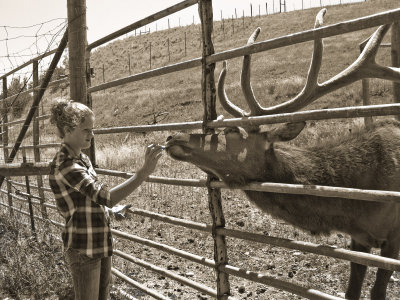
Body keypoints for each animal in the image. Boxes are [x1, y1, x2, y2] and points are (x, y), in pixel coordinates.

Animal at [166, 8, 400, 300]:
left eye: (231, 131)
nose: (172, 136)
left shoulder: (394, 238)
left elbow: (377, 290)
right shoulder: (359, 239)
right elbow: (353, 288)